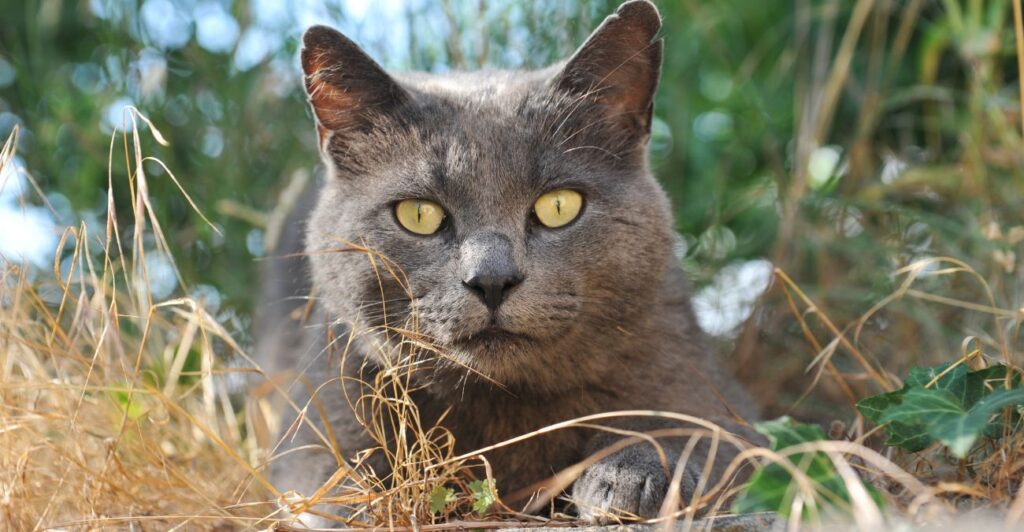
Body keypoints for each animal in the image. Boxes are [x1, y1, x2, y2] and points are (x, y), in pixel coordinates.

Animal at [258, 0, 761, 523]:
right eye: (419, 214)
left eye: (559, 206)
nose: (492, 279)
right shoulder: (322, 415)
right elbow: (331, 490)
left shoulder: (710, 391)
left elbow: (704, 436)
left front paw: (632, 474)